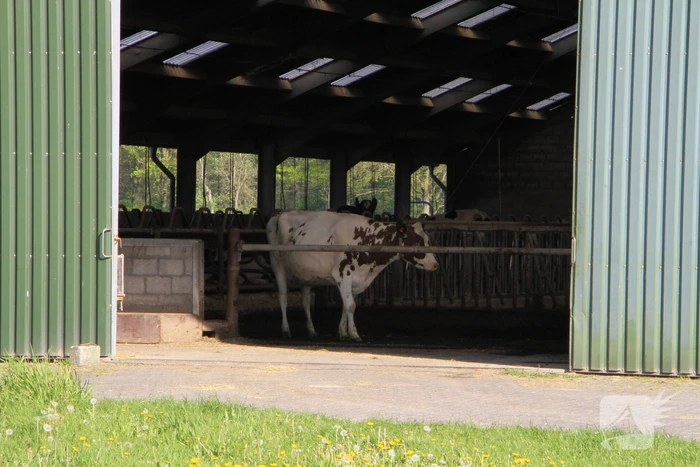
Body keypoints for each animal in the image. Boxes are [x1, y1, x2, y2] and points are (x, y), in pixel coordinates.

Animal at [266, 210, 439, 341]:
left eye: (427, 240)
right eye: (417, 241)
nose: (435, 264)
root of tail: (278, 215)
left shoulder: (356, 280)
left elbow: (345, 305)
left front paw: (343, 332)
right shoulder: (343, 275)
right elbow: (350, 305)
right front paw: (354, 334)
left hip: (306, 275)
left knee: (306, 301)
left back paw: (311, 330)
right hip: (278, 265)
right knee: (283, 297)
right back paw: (286, 330)